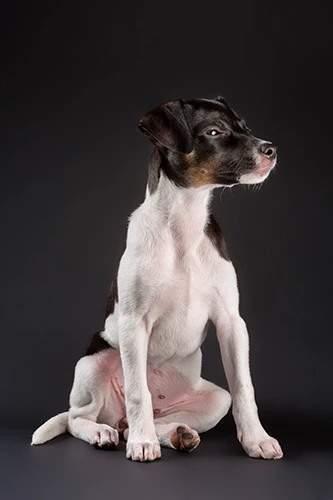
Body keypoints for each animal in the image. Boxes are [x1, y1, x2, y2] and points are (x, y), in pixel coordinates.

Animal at [31, 96, 282, 460]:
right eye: (214, 132)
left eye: (245, 128)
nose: (271, 150)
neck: (183, 225)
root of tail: (116, 417)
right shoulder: (134, 322)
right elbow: (139, 392)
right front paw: (142, 442)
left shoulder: (231, 323)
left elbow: (244, 389)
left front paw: (256, 439)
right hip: (94, 361)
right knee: (79, 418)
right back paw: (107, 433)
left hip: (215, 399)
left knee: (160, 417)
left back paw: (176, 434)